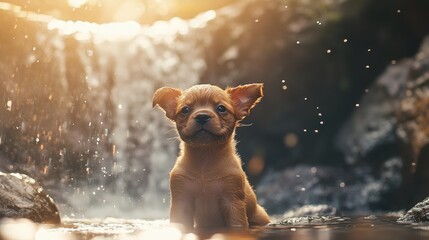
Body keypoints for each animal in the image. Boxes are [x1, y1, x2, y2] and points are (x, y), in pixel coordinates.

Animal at [152, 83, 270, 230]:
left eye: (221, 108)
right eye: (185, 110)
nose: (202, 116)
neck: (205, 158)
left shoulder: (233, 202)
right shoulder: (181, 201)